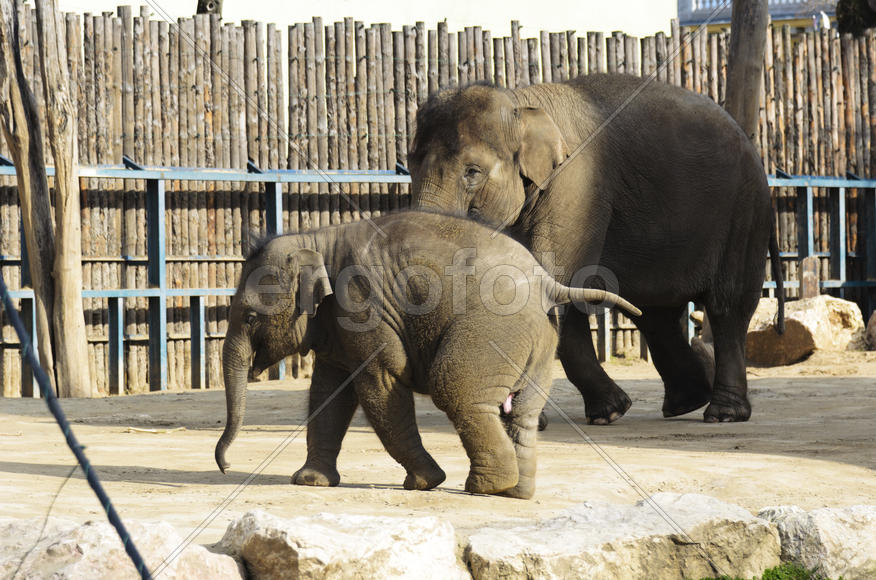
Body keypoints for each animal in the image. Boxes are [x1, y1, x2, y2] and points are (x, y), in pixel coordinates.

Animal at [214, 211, 640, 499]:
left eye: (250, 317)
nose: (227, 466)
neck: (317, 240)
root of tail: (547, 283)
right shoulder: (335, 325)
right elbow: (328, 392)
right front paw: (311, 482)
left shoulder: (362, 309)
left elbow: (380, 384)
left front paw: (425, 483)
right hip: (538, 339)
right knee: (523, 410)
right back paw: (515, 491)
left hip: (493, 327)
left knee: (457, 389)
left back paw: (484, 488)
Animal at [408, 73, 784, 424]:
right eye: (410, 165)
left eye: (472, 172)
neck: (521, 103)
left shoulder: (577, 187)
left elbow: (557, 284)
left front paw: (602, 414)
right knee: (655, 314)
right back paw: (684, 404)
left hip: (744, 215)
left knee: (726, 307)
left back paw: (722, 413)